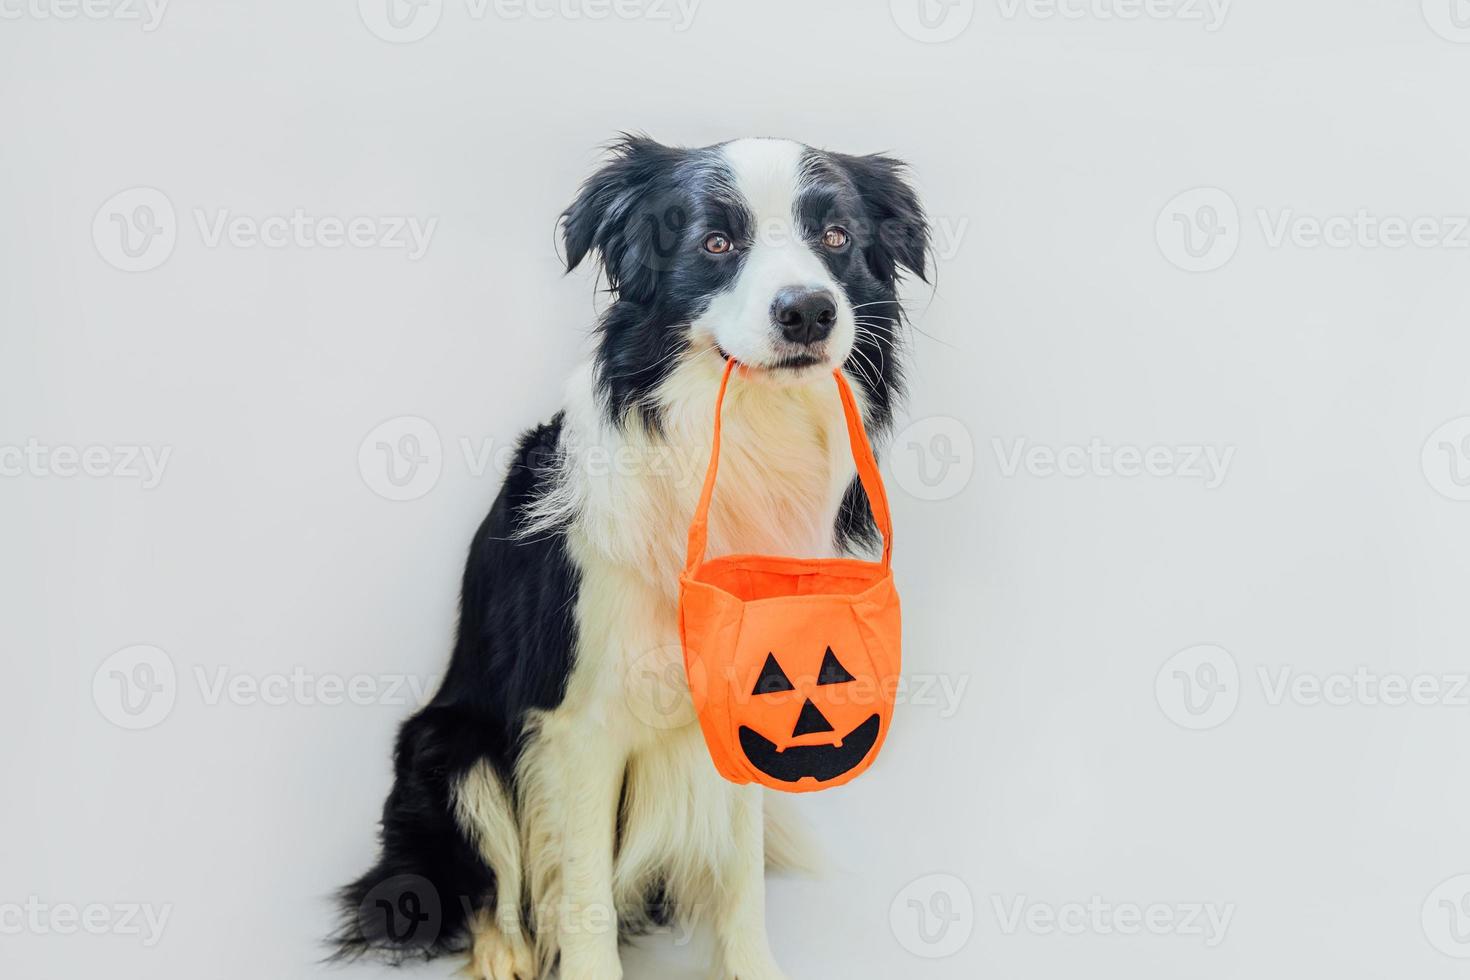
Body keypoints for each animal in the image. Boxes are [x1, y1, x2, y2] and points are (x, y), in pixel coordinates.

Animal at [335, 135, 929, 980]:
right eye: (715, 243)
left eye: (836, 236)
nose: (809, 311)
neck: (743, 439)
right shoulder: (577, 724)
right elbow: (580, 900)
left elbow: (741, 882)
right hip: (448, 747)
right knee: (490, 884)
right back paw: (500, 953)